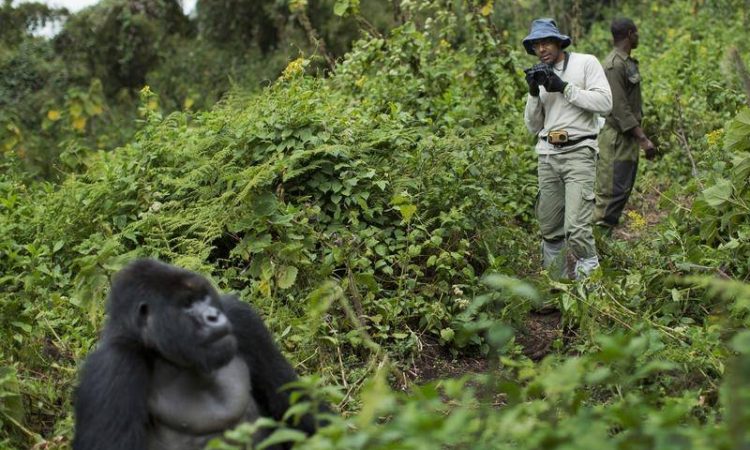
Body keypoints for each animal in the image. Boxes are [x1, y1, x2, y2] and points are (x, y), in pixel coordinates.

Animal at [72, 260, 326, 450]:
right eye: (187, 304)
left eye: (204, 297)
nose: (213, 316)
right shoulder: (112, 368)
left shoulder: (242, 319)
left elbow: (298, 408)